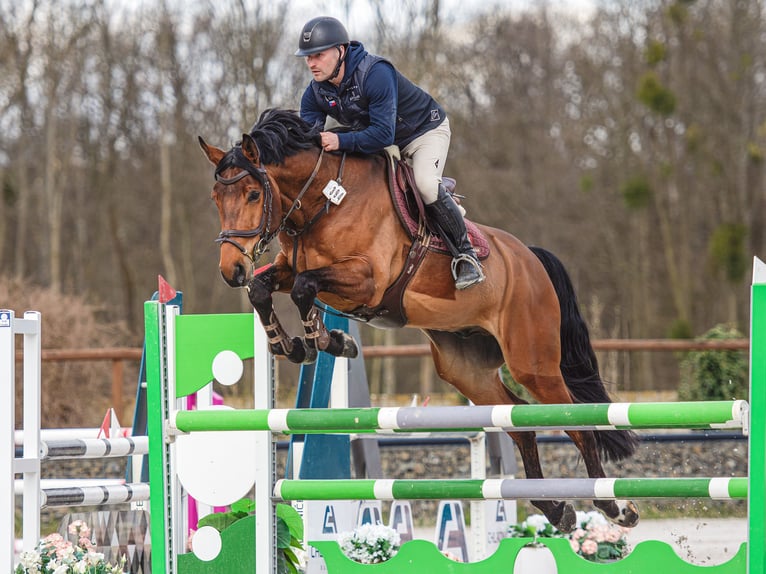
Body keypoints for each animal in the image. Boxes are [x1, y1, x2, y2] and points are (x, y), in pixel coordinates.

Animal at [200, 109, 640, 536]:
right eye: (216, 198)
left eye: (254, 193)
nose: (231, 270)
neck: (323, 202)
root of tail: (530, 258)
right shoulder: (289, 269)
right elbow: (263, 289)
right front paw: (291, 345)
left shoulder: (367, 279)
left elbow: (305, 288)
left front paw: (324, 340)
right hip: (467, 371)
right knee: (520, 424)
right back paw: (556, 509)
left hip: (533, 362)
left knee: (578, 423)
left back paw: (614, 507)